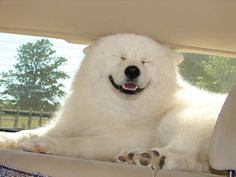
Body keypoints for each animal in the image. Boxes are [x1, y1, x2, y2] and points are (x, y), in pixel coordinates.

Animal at [0, 33, 226, 173]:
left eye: (145, 61)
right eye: (120, 57)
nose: (133, 70)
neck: (113, 106)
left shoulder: (115, 139)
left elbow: (79, 143)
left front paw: (45, 145)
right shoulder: (65, 125)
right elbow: (28, 132)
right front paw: (7, 138)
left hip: (179, 119)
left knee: (181, 152)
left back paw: (145, 157)